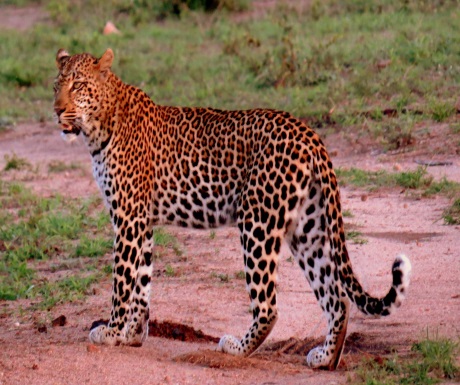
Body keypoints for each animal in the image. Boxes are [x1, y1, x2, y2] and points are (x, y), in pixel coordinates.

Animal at [54, 48, 414, 368]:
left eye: (78, 85)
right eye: (56, 85)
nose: (57, 110)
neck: (99, 126)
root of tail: (309, 134)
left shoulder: (128, 218)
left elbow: (122, 281)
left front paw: (111, 332)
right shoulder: (142, 221)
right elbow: (141, 282)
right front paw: (131, 335)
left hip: (257, 221)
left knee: (269, 306)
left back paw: (237, 347)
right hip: (307, 229)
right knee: (336, 296)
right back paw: (325, 358)